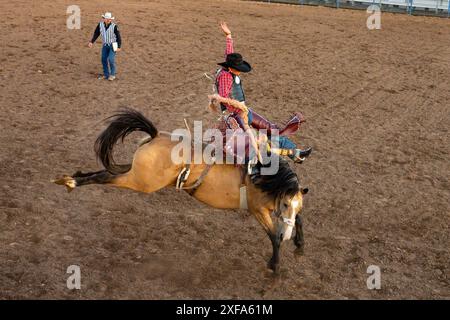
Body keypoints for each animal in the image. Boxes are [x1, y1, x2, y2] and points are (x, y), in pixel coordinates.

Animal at [51, 108, 306, 272]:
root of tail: (155, 136)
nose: (288, 236)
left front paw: (299, 245)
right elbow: (273, 236)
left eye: (293, 205)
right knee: (107, 176)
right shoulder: (257, 209)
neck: (263, 175)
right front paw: (275, 266)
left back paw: (71, 178)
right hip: (141, 181)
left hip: (135, 171)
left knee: (109, 170)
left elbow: (299, 220)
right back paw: (72, 182)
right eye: (285, 204)